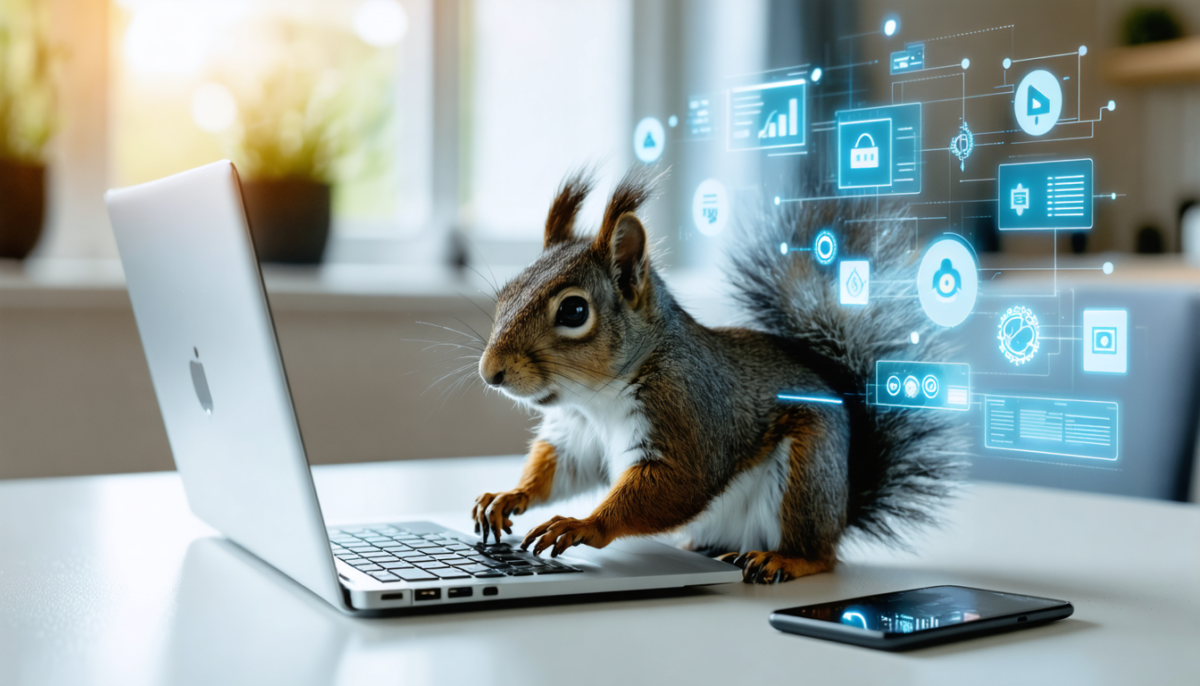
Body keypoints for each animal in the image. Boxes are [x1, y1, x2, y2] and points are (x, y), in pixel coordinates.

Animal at [470, 167, 966, 584]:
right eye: (507, 292)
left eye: (574, 311)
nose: (490, 372)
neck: (597, 398)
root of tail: (842, 512)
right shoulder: (578, 433)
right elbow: (561, 469)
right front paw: (509, 496)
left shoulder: (688, 411)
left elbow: (682, 482)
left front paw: (583, 524)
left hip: (807, 471)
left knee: (820, 555)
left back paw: (782, 559)